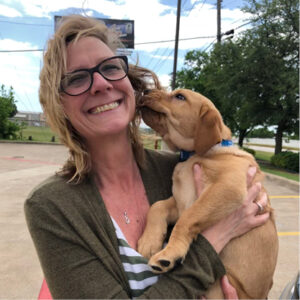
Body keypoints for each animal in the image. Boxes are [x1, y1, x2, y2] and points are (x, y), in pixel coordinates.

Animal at [137, 88, 278, 298]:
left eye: (180, 97)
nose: (145, 90)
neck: (194, 155)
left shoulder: (227, 187)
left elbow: (186, 219)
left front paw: (170, 253)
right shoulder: (182, 200)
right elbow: (157, 207)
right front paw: (149, 241)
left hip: (220, 283)